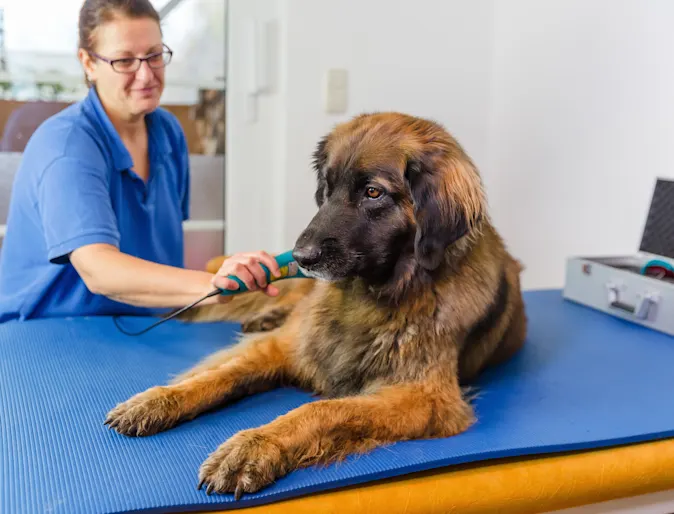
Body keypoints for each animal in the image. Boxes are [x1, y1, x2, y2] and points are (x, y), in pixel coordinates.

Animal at [103, 111, 524, 496]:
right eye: (327, 187)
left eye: (373, 193)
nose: (301, 257)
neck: (371, 296)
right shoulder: (288, 346)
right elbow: (222, 373)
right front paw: (159, 400)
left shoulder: (425, 398)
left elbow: (323, 408)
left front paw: (254, 445)